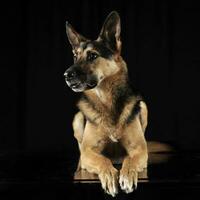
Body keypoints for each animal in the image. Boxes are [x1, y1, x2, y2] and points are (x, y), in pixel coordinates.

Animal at [64, 11, 148, 197]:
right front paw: (110, 175)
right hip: (78, 118)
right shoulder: (89, 151)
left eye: (93, 56)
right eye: (75, 56)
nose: (66, 75)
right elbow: (102, 159)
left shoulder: (139, 149)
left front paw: (127, 174)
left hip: (144, 108)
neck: (107, 101)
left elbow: (130, 159)